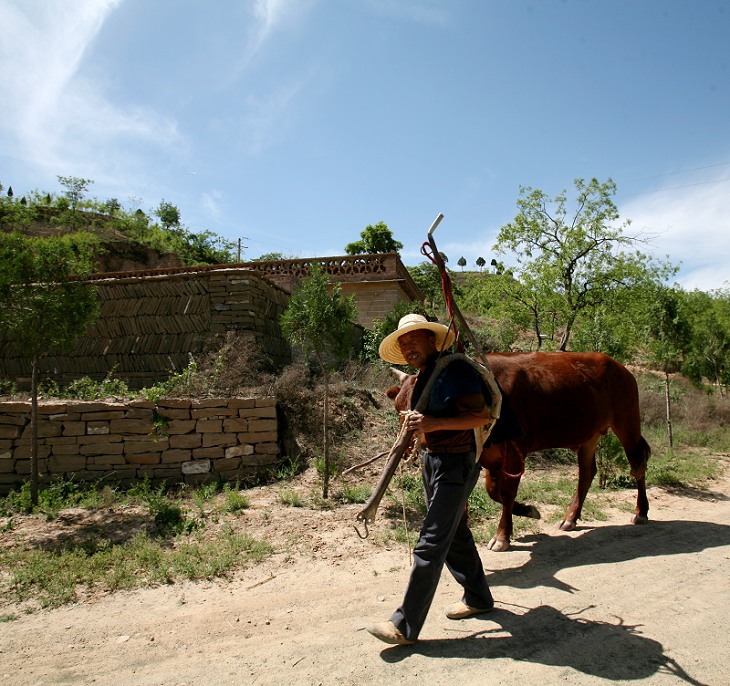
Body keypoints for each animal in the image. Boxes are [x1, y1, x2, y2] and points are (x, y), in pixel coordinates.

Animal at [386, 354, 648, 552]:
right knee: (587, 473)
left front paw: (502, 536)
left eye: (425, 406)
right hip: (588, 436)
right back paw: (570, 518)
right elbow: (493, 492)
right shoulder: (488, 458)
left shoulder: (514, 452)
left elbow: (506, 493)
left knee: (637, 463)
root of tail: (618, 366)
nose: (404, 445)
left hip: (627, 422)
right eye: (398, 406)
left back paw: (641, 513)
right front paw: (526, 511)